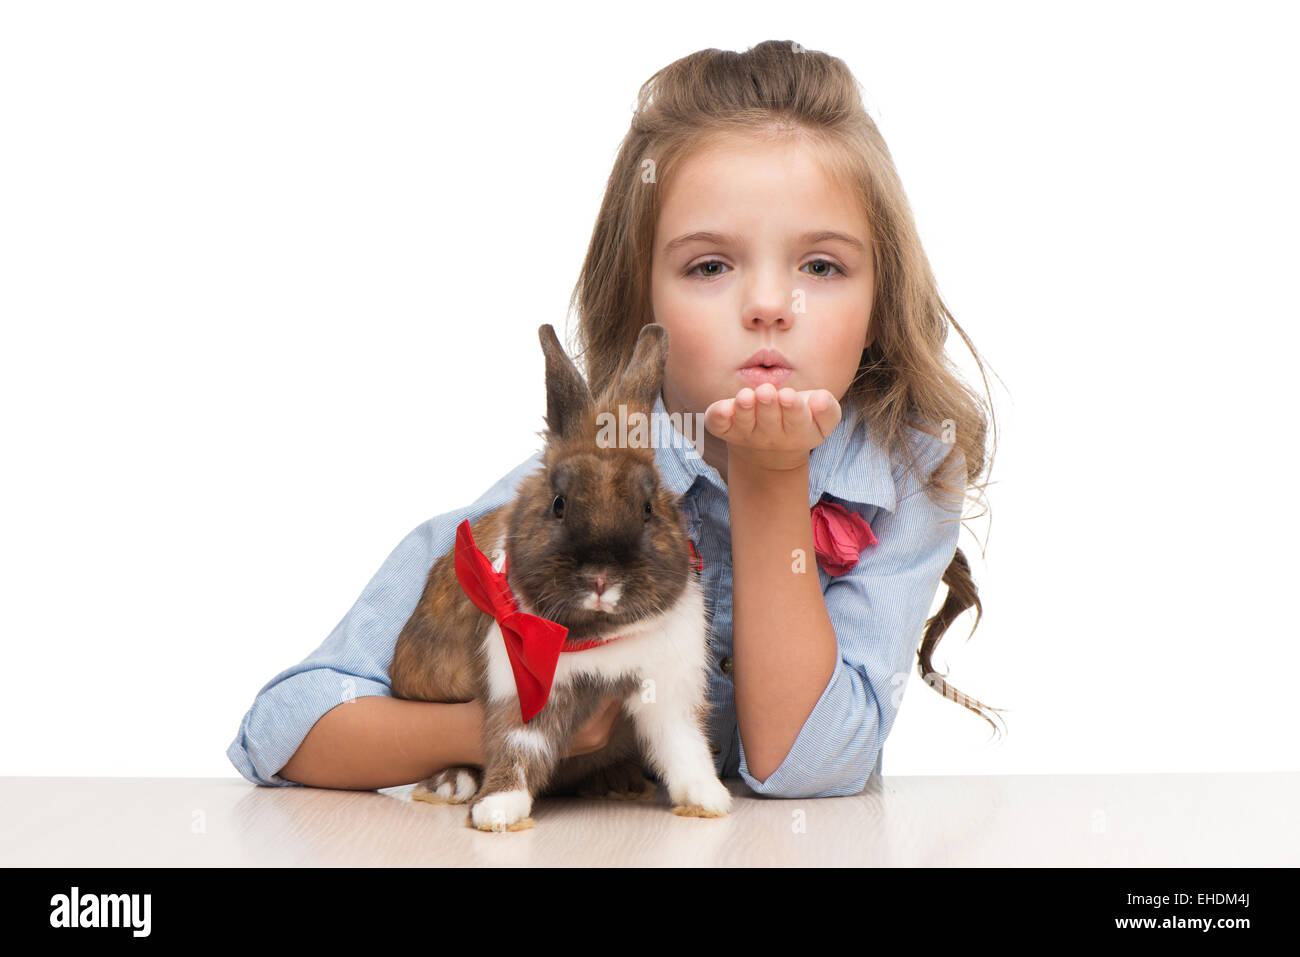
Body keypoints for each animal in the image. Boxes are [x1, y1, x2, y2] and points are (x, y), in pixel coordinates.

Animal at [384, 319, 733, 832]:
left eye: (649, 508)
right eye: (559, 504)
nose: (601, 578)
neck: (600, 637)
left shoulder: (667, 690)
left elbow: (684, 747)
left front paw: (709, 800)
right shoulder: (524, 691)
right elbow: (517, 746)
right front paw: (498, 811)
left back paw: (618, 782)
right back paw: (451, 784)